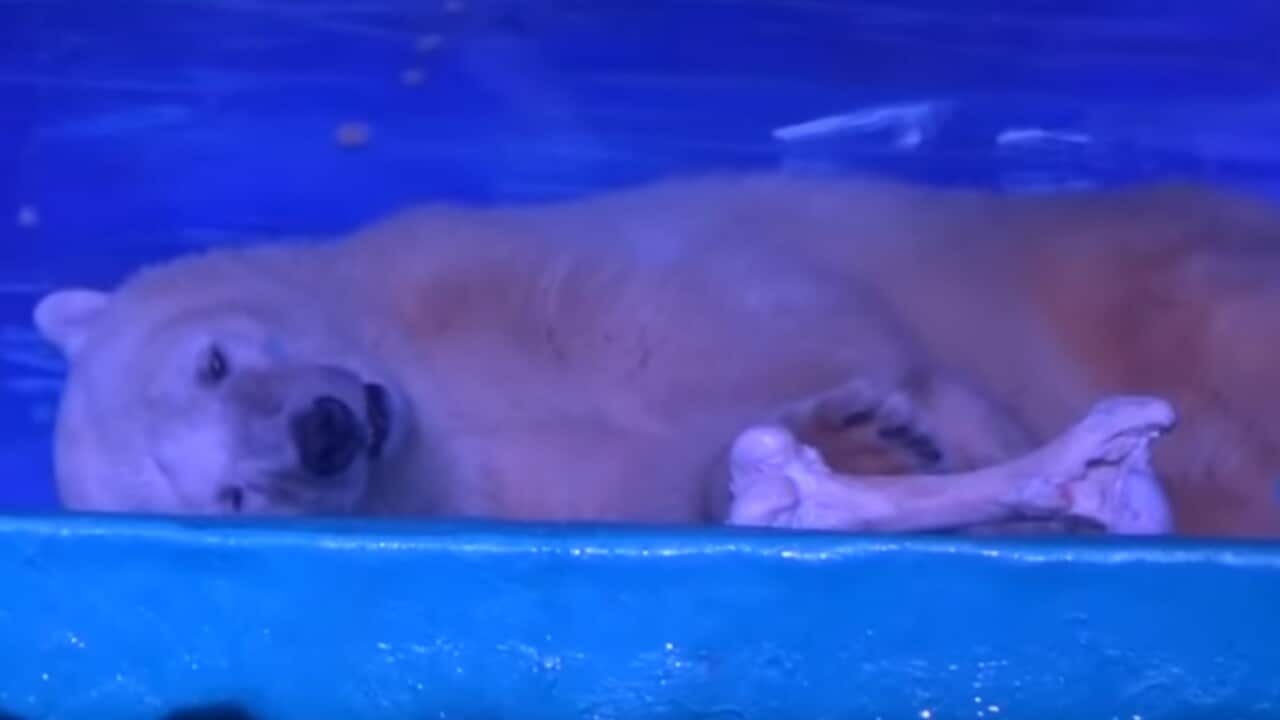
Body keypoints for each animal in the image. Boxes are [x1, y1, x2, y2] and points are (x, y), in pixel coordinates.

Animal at [31, 173, 1280, 537]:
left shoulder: (511, 273)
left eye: (213, 362)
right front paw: (861, 447)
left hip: (1120, 261)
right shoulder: (527, 490)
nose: (327, 430)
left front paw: (913, 425)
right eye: (233, 498)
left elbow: (774, 319)